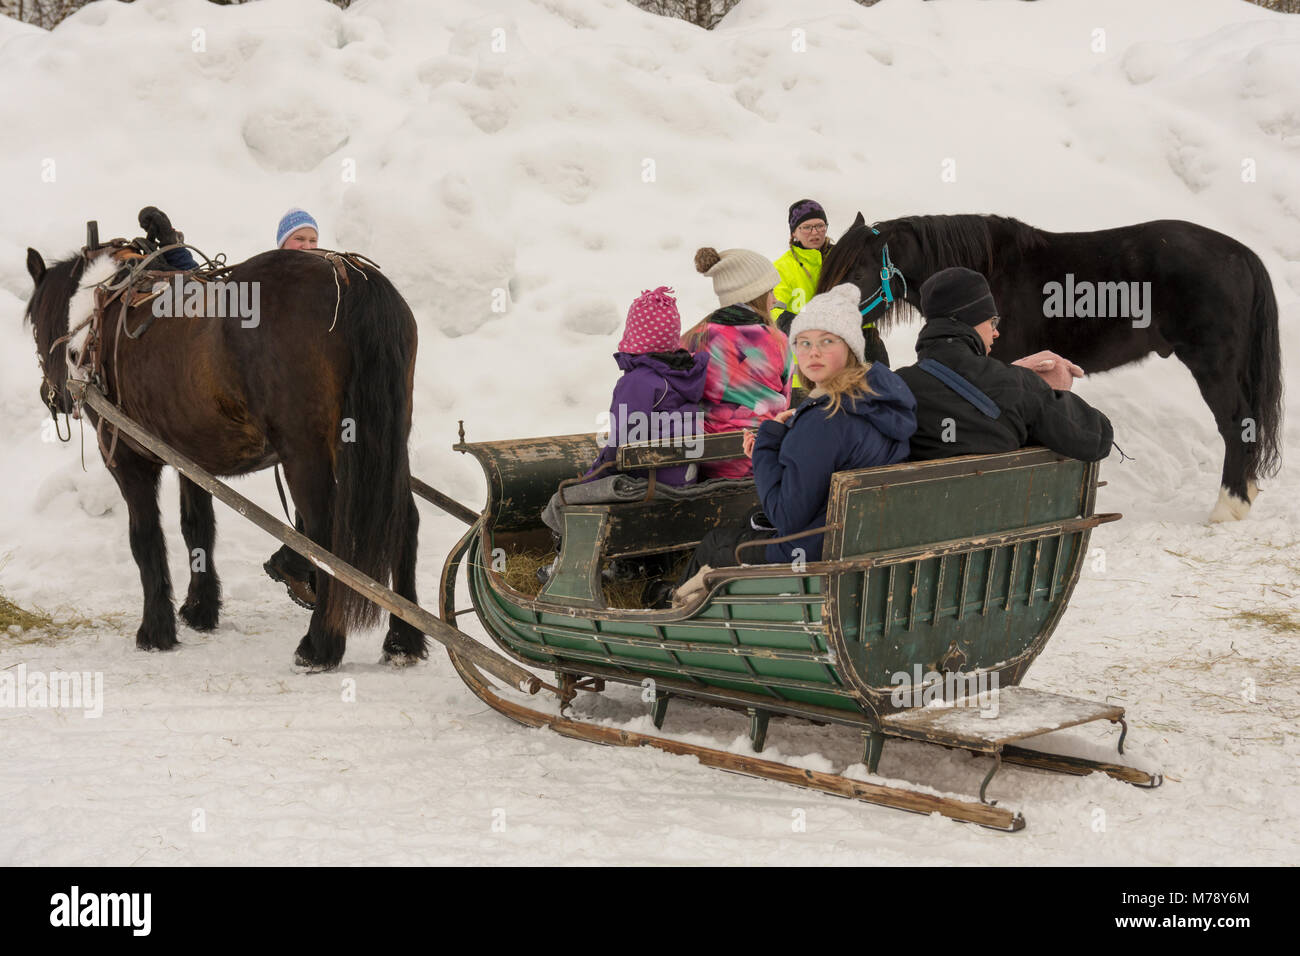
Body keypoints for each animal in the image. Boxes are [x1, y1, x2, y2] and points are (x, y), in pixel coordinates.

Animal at [23, 242, 426, 670]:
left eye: (34, 325)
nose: (51, 396)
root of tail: (349, 277)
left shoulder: (126, 459)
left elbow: (145, 538)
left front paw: (156, 630)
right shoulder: (190, 457)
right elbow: (197, 527)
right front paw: (201, 608)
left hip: (306, 453)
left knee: (326, 535)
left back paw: (320, 645)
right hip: (387, 445)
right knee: (404, 521)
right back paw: (402, 640)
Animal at [819, 213, 1283, 522]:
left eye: (856, 271)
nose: (815, 321)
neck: (988, 271)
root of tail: (1240, 253)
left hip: (1213, 363)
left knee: (1234, 424)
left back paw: (1229, 506)